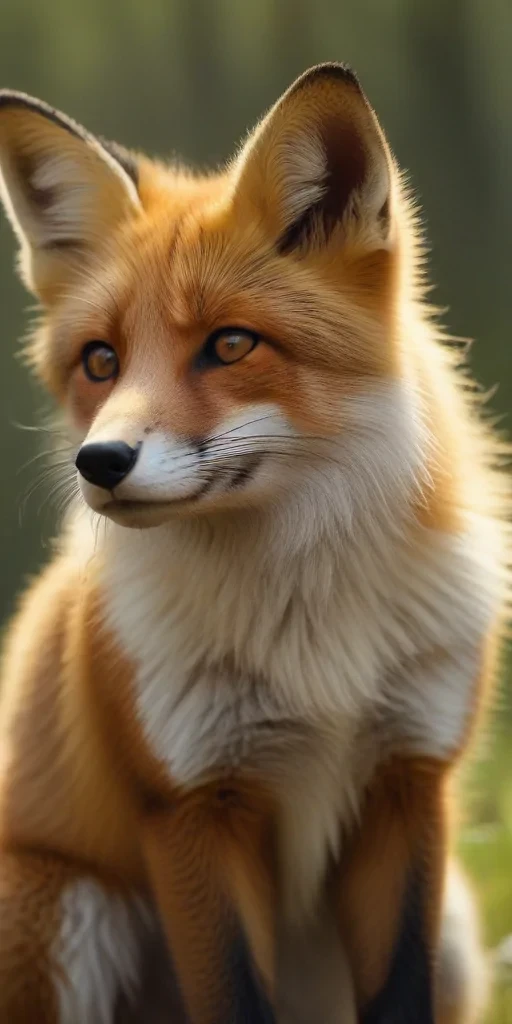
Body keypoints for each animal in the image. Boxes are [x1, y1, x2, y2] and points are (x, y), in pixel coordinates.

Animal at [0, 62, 506, 1023]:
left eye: (231, 344)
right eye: (100, 362)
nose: (100, 462)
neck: (309, 638)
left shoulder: (406, 784)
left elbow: (400, 994)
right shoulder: (192, 806)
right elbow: (233, 998)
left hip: (460, 935)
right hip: (65, 911)